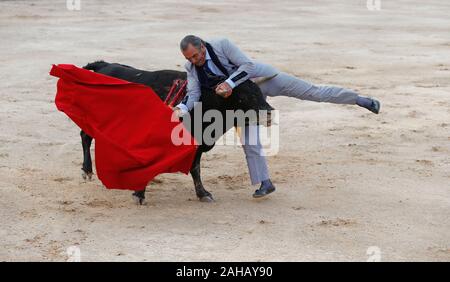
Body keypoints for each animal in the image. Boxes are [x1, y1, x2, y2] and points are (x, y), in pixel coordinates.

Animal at [79, 60, 272, 204]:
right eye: (244, 97)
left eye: (261, 92)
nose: (270, 112)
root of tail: (103, 65)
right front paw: (139, 193)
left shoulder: (197, 143)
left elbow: (195, 168)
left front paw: (203, 194)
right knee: (86, 137)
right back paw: (87, 171)